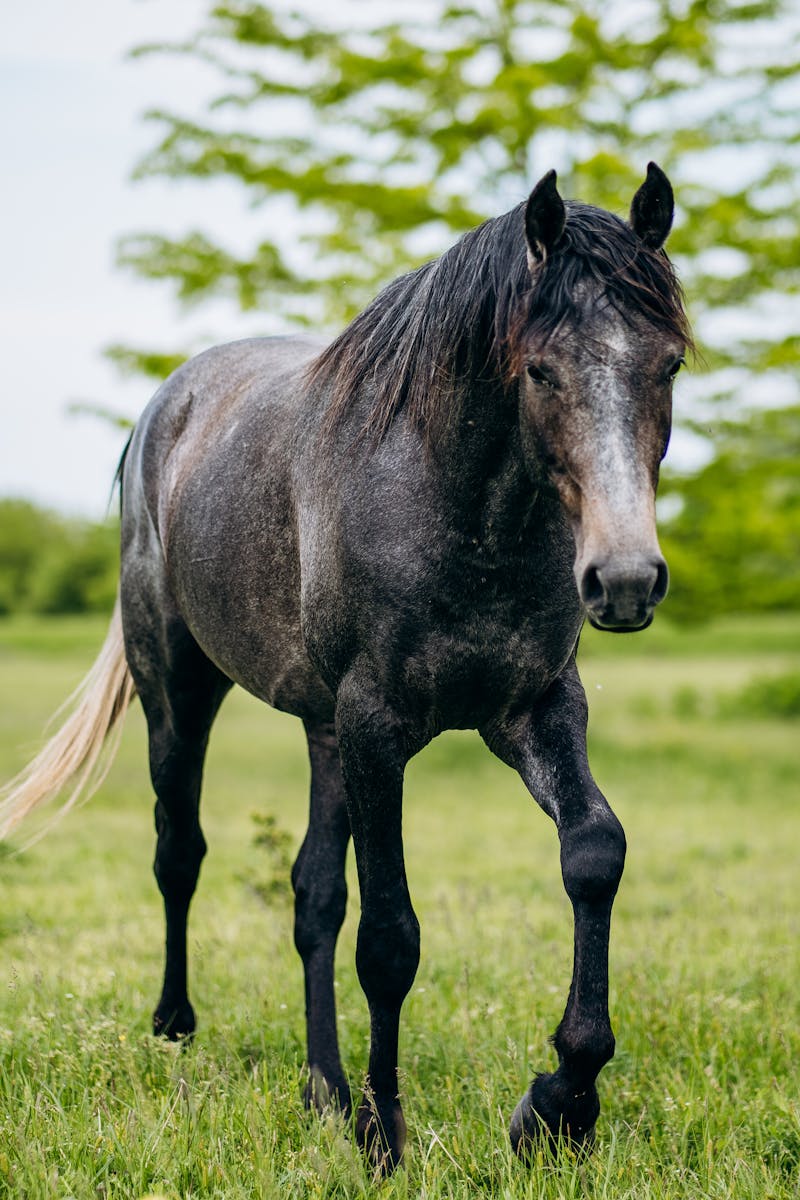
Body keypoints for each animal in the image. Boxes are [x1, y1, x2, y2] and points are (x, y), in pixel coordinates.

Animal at [1, 164, 691, 1172]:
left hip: (322, 728)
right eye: (539, 369)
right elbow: (390, 937)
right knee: (179, 852)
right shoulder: (378, 728)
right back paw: (177, 1031)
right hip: (180, 692)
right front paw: (384, 1133)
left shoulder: (534, 709)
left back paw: (321, 1088)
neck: (459, 513)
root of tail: (167, 407)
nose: (626, 580)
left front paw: (559, 1104)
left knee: (311, 894)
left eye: (668, 363)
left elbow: (594, 854)